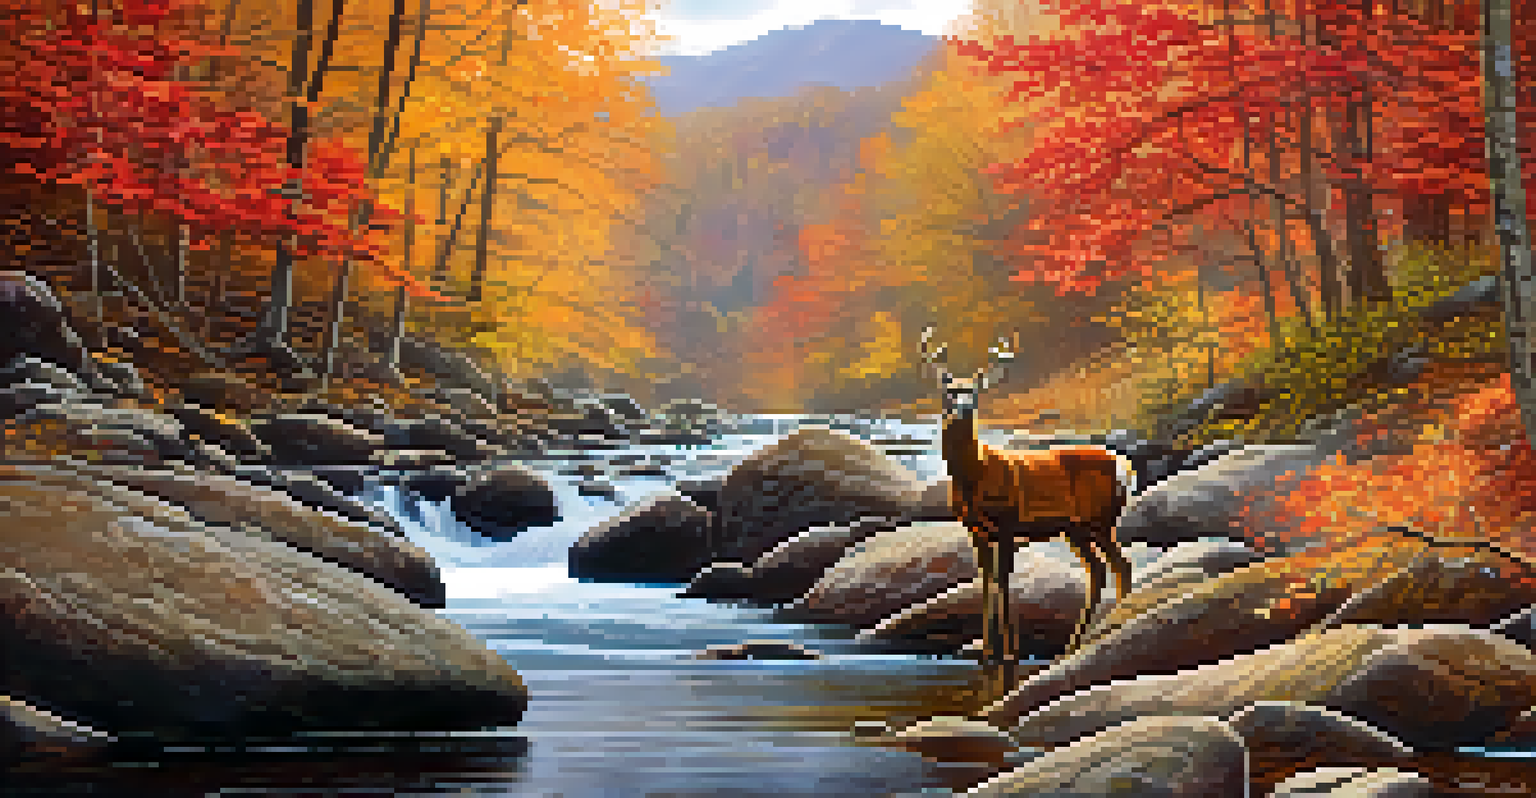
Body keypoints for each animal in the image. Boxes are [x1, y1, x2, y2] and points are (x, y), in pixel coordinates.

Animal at [919, 326, 1135, 680]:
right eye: (950, 391)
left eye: (974, 392)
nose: (963, 409)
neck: (975, 474)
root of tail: (1125, 466)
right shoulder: (976, 530)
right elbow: (987, 581)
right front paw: (987, 654)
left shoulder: (1008, 523)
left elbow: (1005, 581)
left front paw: (1010, 654)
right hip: (1074, 528)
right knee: (1099, 569)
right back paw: (1073, 644)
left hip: (1101, 519)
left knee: (1121, 565)